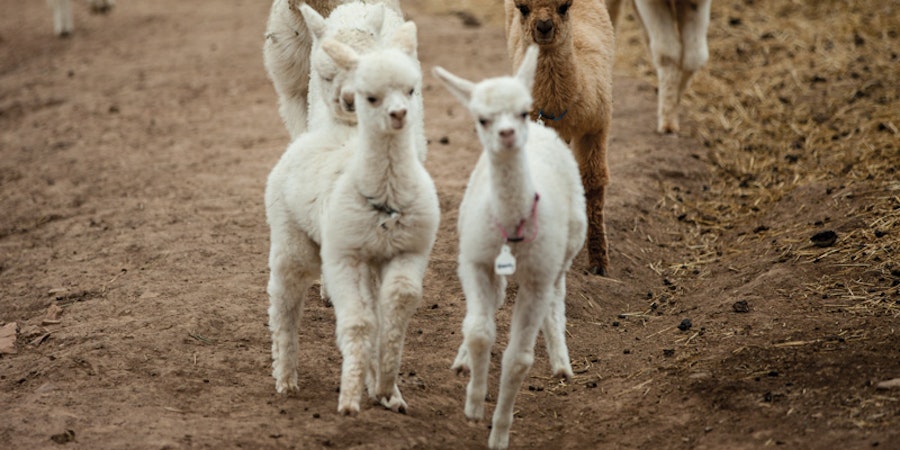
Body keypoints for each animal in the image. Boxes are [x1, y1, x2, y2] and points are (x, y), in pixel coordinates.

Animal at [264, 21, 439, 416]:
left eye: (411, 88)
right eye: (370, 96)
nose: (399, 114)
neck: (385, 200)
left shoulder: (408, 252)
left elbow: (397, 303)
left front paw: (388, 389)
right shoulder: (346, 256)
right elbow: (358, 322)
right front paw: (350, 399)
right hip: (292, 239)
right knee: (283, 301)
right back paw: (285, 377)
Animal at [434, 45, 587, 450]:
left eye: (520, 110)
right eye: (482, 119)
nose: (506, 133)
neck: (513, 232)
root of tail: (543, 129)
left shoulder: (538, 275)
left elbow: (519, 359)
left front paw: (499, 432)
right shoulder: (474, 260)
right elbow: (479, 330)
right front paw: (473, 403)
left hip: (569, 242)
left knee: (557, 293)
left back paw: (561, 360)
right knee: (493, 302)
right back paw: (464, 360)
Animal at [504, 0, 615, 277]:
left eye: (564, 6)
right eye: (522, 7)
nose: (544, 26)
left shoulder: (596, 126)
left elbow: (594, 180)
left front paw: (599, 262)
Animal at [607, 0, 711, 134]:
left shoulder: (697, 3)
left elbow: (694, 57)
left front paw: (675, 101)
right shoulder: (651, 3)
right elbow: (668, 53)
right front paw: (668, 121)